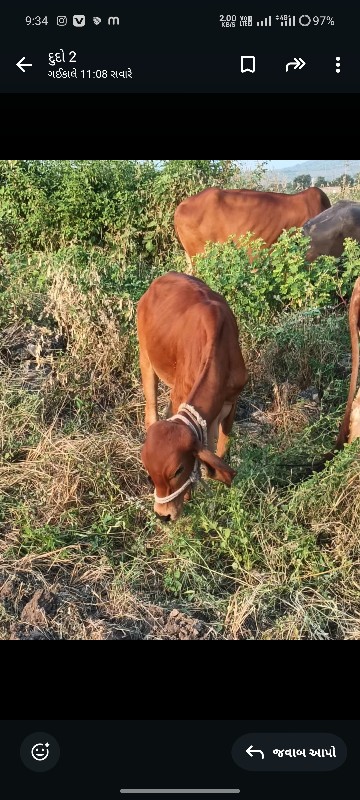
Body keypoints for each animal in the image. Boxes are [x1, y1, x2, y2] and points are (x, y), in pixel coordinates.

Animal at [136, 270, 249, 520]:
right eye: (149, 475)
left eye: (177, 470)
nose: (163, 515)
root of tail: (161, 279)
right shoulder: (181, 397)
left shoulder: (232, 401)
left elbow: (221, 446)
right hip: (145, 356)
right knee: (151, 412)